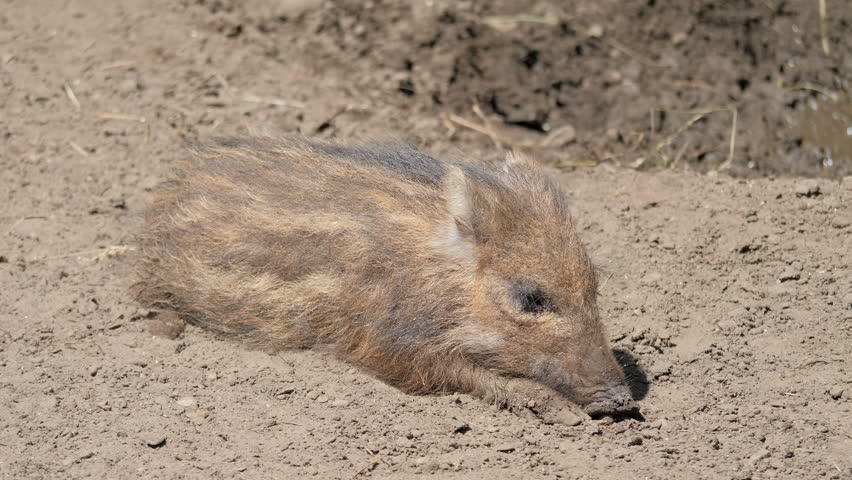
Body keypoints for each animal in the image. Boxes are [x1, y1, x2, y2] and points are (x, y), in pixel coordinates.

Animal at [135, 136, 638, 420]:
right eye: (531, 297)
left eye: (594, 287)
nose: (622, 401)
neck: (433, 280)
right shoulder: (385, 344)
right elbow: (458, 373)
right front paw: (560, 413)